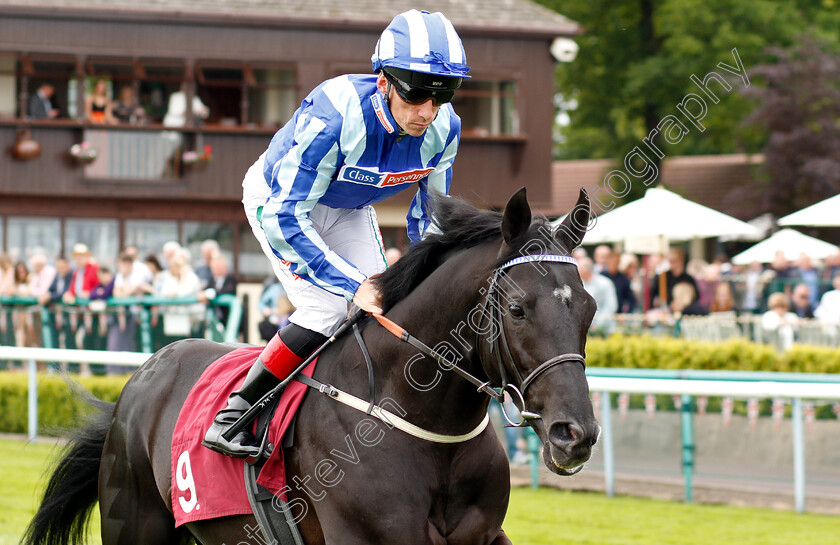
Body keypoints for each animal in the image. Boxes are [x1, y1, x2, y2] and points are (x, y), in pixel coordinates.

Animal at [24, 187, 596, 544]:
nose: (576, 434)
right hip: (134, 520)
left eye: (589, 308)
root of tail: (144, 375)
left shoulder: (483, 535)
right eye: (518, 308)